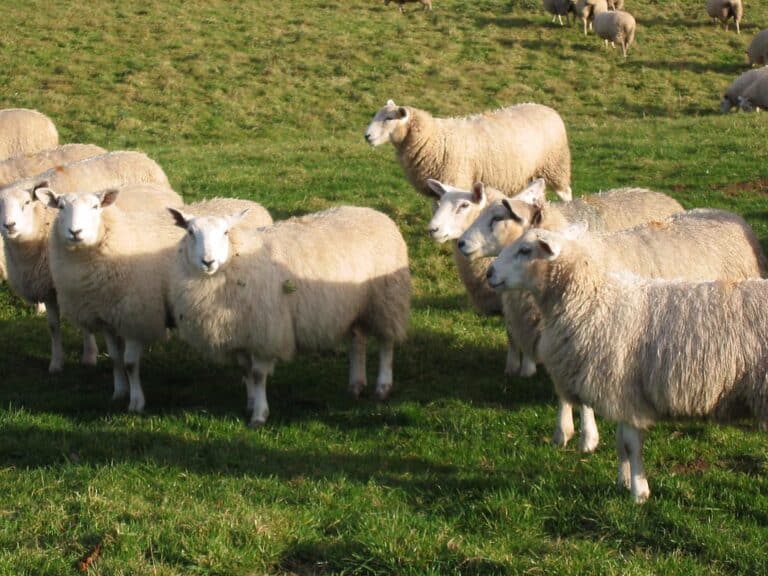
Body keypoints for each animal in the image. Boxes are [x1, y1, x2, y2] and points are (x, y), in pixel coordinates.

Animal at [0, 152, 172, 372]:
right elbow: (53, 326)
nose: (9, 225)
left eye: (27, 203)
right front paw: (56, 363)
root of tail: (142, 155)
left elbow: (85, 326)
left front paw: (89, 356)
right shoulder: (50, 285)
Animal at [38, 191, 253, 413]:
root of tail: (248, 203)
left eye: (95, 206)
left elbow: (130, 363)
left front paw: (136, 402)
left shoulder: (135, 315)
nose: (75, 232)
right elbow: (115, 358)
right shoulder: (107, 316)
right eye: (61, 206)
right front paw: (119, 392)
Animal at [167, 205, 411, 427]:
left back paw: (382, 387)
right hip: (353, 306)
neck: (234, 258)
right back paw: (355, 386)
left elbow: (257, 374)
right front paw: (250, 404)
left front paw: (259, 415)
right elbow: (245, 371)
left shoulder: (265, 331)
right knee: (357, 342)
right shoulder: (242, 333)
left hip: (386, 299)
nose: (208, 262)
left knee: (386, 343)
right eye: (190, 232)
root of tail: (376, 213)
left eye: (226, 232)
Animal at [365, 100, 572, 202]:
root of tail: (550, 110)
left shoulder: (454, 180)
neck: (432, 138)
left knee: (566, 193)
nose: (366, 136)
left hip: (555, 166)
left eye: (389, 118)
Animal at [487, 222, 768, 502]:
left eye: (525, 250)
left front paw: (638, 492)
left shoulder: (625, 393)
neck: (591, 301)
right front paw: (622, 482)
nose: (489, 272)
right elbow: (620, 443)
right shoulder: (617, 394)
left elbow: (631, 446)